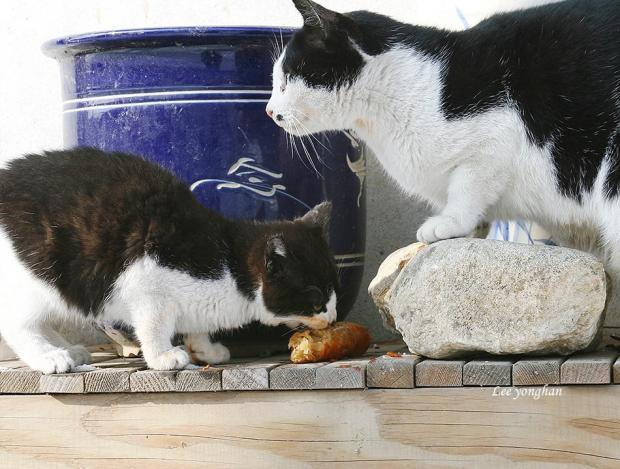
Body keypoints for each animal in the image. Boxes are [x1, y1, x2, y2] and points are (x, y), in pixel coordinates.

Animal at [0, 148, 336, 372]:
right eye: (316, 298)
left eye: (333, 290)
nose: (333, 318)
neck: (228, 265)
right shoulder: (145, 284)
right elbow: (153, 325)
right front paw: (163, 356)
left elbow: (197, 324)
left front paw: (205, 348)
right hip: (41, 273)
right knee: (15, 321)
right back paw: (49, 356)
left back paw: (67, 349)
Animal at [268, 0, 620, 280]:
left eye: (285, 80)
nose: (269, 111)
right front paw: (473, 229)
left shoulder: (494, 140)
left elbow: (467, 188)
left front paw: (451, 222)